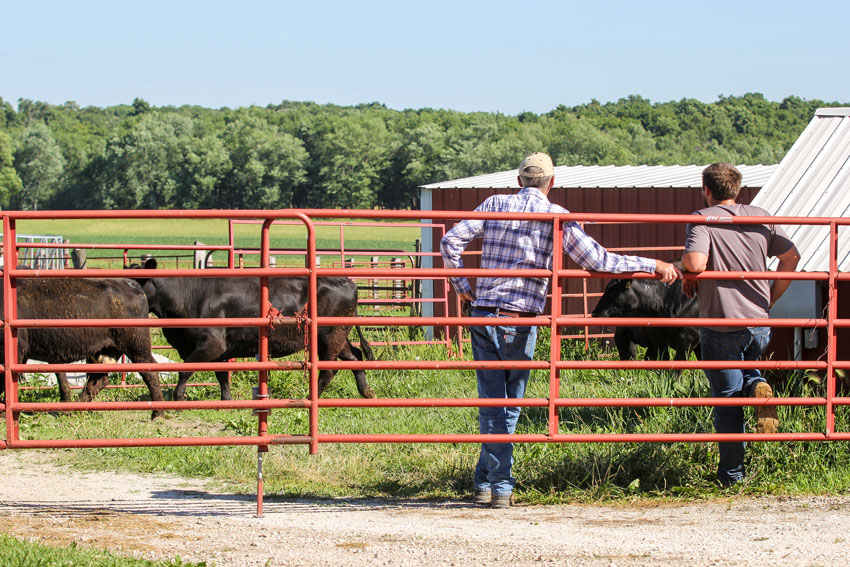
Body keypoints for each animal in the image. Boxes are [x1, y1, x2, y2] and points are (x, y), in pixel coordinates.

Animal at [0, 278, 164, 418]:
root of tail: (130, 284)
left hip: (136, 347)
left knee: (150, 372)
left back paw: (158, 413)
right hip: (103, 352)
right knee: (98, 381)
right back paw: (74, 408)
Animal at [130, 260, 374, 402]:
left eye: (134, 282)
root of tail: (348, 282)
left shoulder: (210, 344)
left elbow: (186, 370)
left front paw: (178, 397)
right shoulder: (219, 351)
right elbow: (222, 377)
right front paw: (226, 401)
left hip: (329, 336)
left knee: (329, 369)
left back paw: (310, 396)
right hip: (338, 337)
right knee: (354, 356)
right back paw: (366, 392)